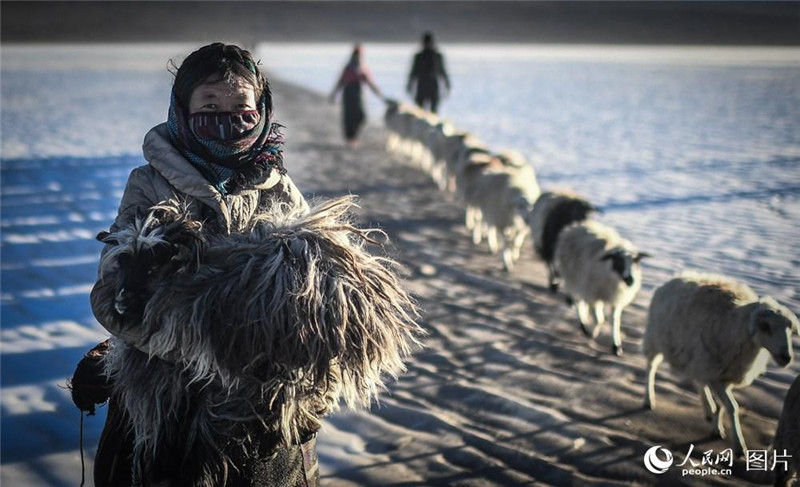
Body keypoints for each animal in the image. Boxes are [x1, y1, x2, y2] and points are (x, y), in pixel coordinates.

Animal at [552, 220, 648, 354]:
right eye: (618, 261)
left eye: (635, 261)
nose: (630, 280)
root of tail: (574, 227)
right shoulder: (594, 296)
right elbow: (600, 320)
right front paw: (593, 333)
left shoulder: (615, 300)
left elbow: (615, 321)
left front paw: (617, 346)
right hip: (573, 279)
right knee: (578, 301)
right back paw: (584, 324)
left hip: (583, 284)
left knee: (583, 301)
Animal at [644, 272, 800, 460]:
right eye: (766, 327)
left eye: (790, 330)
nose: (787, 357)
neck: (737, 325)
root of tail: (675, 278)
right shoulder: (716, 376)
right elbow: (732, 407)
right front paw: (739, 446)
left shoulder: (722, 374)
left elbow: (724, 406)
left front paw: (717, 426)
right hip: (656, 340)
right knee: (651, 368)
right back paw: (649, 399)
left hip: (697, 358)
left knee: (698, 381)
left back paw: (708, 409)